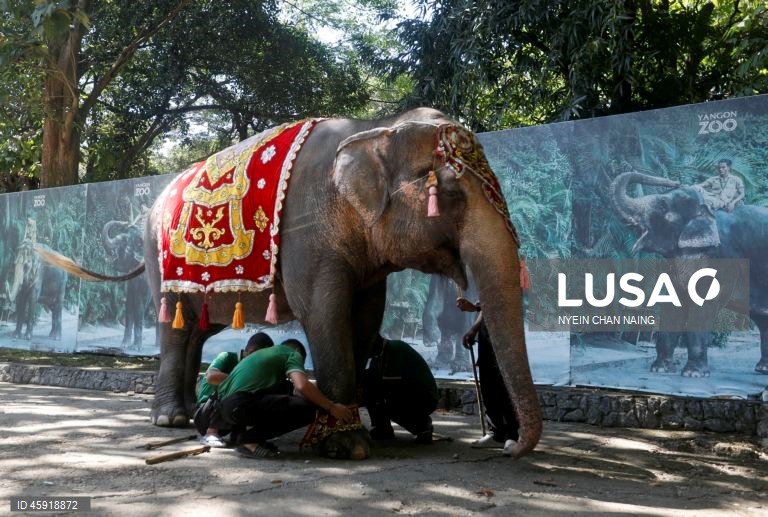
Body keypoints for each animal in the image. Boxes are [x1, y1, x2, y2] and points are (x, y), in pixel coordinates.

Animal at [102, 220, 151, 349]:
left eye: (125, 243)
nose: (124, 223)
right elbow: (129, 306)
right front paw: (124, 345)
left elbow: (139, 308)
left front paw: (135, 348)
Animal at [610, 170, 768, 377]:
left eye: (662, 205)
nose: (676, 181)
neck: (707, 211)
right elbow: (673, 303)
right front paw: (660, 369)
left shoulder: (722, 255)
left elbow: (703, 306)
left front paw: (693, 374)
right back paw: (762, 369)